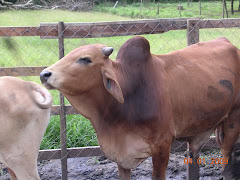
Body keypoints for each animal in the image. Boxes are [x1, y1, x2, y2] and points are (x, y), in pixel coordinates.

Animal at [40, 35, 240, 179]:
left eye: (85, 59)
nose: (44, 74)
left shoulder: (162, 147)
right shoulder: (121, 155)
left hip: (232, 121)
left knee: (227, 159)